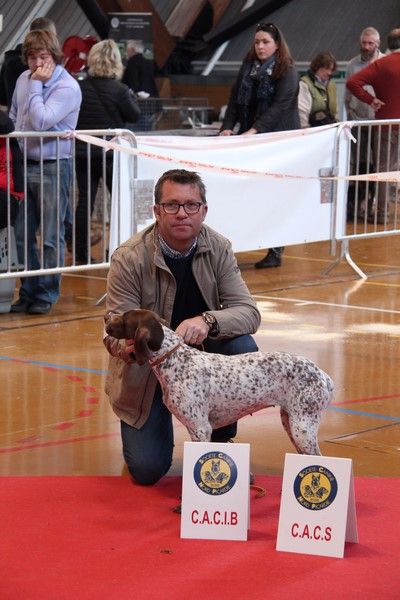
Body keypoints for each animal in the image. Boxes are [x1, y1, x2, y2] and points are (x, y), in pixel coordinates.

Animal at [104, 310, 332, 454]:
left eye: (125, 317)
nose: (106, 316)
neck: (175, 360)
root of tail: (323, 375)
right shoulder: (195, 429)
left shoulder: (201, 428)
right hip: (291, 423)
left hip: (303, 428)